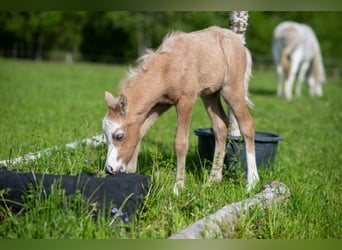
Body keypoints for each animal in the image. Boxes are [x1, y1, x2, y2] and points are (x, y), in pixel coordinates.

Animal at [101, 25, 260, 193]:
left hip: (232, 89)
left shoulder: (186, 100)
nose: (110, 168)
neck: (167, 67)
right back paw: (212, 181)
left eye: (119, 136)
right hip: (210, 94)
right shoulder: (161, 103)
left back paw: (252, 183)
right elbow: (140, 132)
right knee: (220, 125)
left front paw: (178, 187)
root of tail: (240, 43)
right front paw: (132, 172)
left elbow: (180, 143)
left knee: (247, 125)